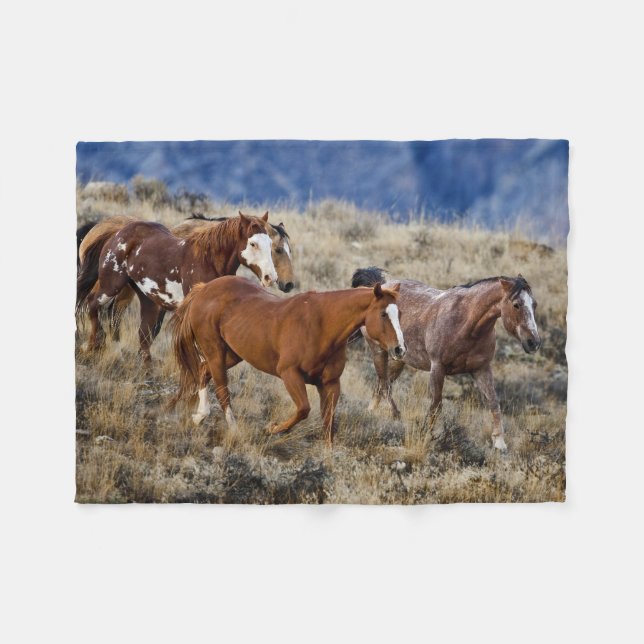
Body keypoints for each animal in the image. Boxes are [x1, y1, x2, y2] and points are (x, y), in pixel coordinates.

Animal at [77, 213, 277, 362]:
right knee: (93, 303)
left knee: (140, 332)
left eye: (270, 244)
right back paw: (94, 345)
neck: (208, 260)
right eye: (253, 243)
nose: (270, 277)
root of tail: (117, 232)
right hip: (111, 284)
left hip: (147, 298)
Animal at [172, 276, 406, 446]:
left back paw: (199, 416)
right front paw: (272, 429)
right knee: (222, 391)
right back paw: (234, 430)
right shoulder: (290, 374)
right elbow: (303, 409)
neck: (322, 326)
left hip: (232, 354)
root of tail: (204, 288)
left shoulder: (330, 384)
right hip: (216, 352)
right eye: (383, 314)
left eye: (400, 314)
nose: (400, 349)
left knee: (203, 371)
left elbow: (328, 424)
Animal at [351, 267, 541, 451]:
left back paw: (372, 412)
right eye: (516, 305)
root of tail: (376, 287)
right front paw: (426, 436)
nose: (534, 342)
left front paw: (499, 443)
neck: (466, 324)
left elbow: (494, 402)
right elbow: (436, 405)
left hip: (398, 360)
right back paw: (395, 415)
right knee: (385, 385)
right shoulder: (437, 368)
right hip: (379, 352)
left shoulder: (481, 369)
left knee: (381, 384)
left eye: (534, 304)